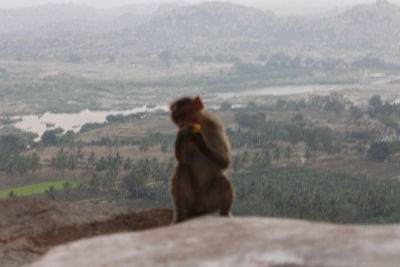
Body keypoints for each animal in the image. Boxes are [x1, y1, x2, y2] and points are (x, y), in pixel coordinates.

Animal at [169, 96, 234, 224]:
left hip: (209, 202)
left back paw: (224, 213)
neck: (200, 123)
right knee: (181, 169)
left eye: (182, 115)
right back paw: (180, 216)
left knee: (223, 182)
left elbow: (225, 161)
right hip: (191, 201)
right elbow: (183, 161)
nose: (181, 125)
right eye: (177, 120)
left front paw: (200, 140)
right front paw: (181, 136)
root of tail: (199, 207)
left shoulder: (214, 124)